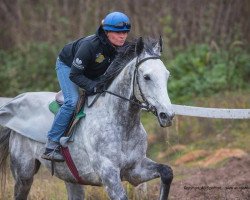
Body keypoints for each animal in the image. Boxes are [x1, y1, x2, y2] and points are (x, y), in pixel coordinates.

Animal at [0, 36, 174, 199]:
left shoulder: (136, 168)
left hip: (70, 178)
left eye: (167, 75)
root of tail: (16, 100)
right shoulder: (108, 174)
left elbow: (167, 172)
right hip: (24, 173)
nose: (167, 115)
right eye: (146, 77)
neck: (123, 125)